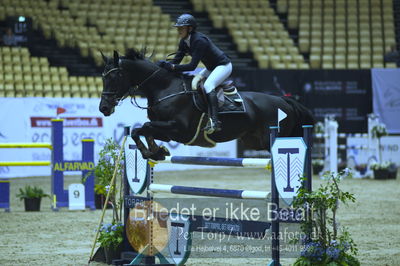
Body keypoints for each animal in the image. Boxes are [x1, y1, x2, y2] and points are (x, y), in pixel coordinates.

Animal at [98, 48, 314, 160]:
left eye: (115, 77)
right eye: (102, 77)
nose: (104, 108)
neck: (164, 88)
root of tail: (283, 100)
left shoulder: (179, 129)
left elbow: (143, 127)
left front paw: (152, 152)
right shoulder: (168, 133)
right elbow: (141, 130)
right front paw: (156, 152)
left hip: (275, 137)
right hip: (253, 141)